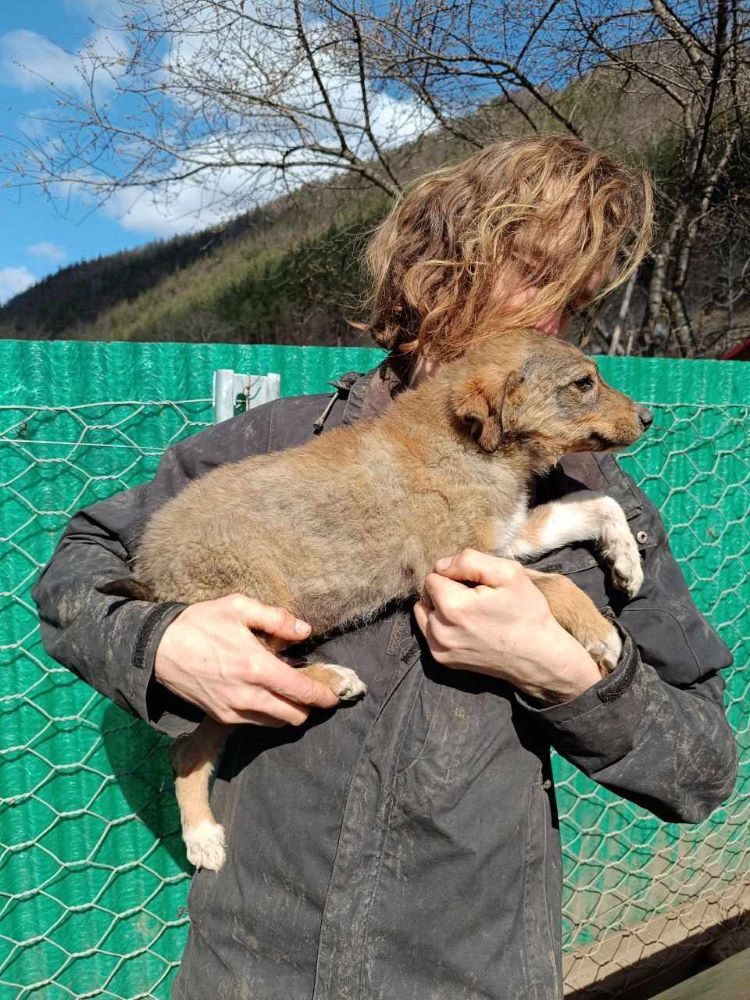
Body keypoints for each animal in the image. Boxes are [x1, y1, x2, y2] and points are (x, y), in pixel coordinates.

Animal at [117, 328, 652, 868]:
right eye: (583, 383)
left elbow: (596, 503)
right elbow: (556, 584)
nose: (650, 417)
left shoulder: (508, 538)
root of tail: (147, 564)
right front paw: (604, 636)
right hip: (258, 609)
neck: (479, 450)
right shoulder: (454, 565)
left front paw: (627, 561)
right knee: (196, 740)